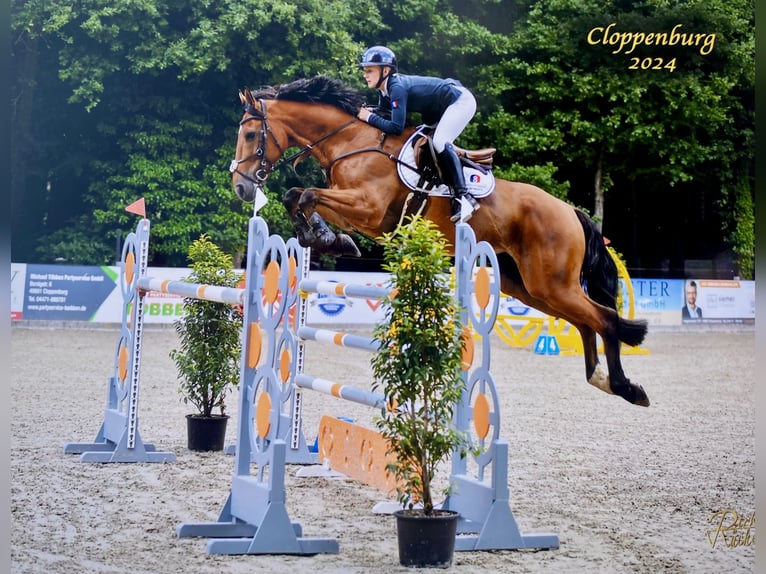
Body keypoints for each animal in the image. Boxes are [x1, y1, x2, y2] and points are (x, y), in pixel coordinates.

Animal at [230, 75, 650, 407]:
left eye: (250, 134)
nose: (241, 187)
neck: (351, 139)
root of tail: (571, 211)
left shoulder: (367, 208)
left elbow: (306, 194)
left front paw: (325, 238)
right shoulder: (357, 211)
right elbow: (297, 196)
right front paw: (324, 237)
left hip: (552, 282)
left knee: (605, 318)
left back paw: (626, 387)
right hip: (532, 287)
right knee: (586, 322)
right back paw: (604, 380)